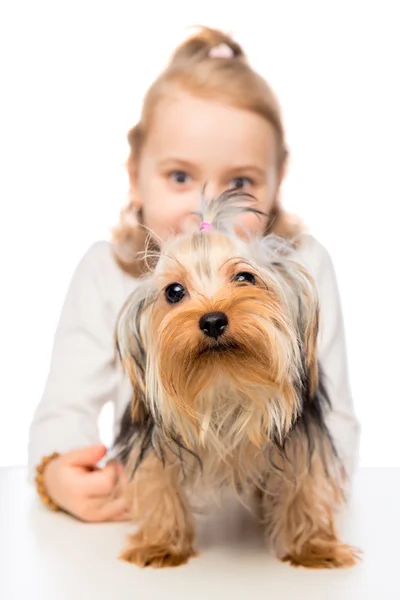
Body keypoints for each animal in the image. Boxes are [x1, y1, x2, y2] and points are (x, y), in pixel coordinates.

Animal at [112, 190, 360, 568]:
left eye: (245, 277)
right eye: (174, 292)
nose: (213, 320)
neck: (224, 381)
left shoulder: (302, 433)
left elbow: (305, 482)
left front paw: (313, 547)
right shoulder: (154, 438)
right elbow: (158, 481)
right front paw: (161, 543)